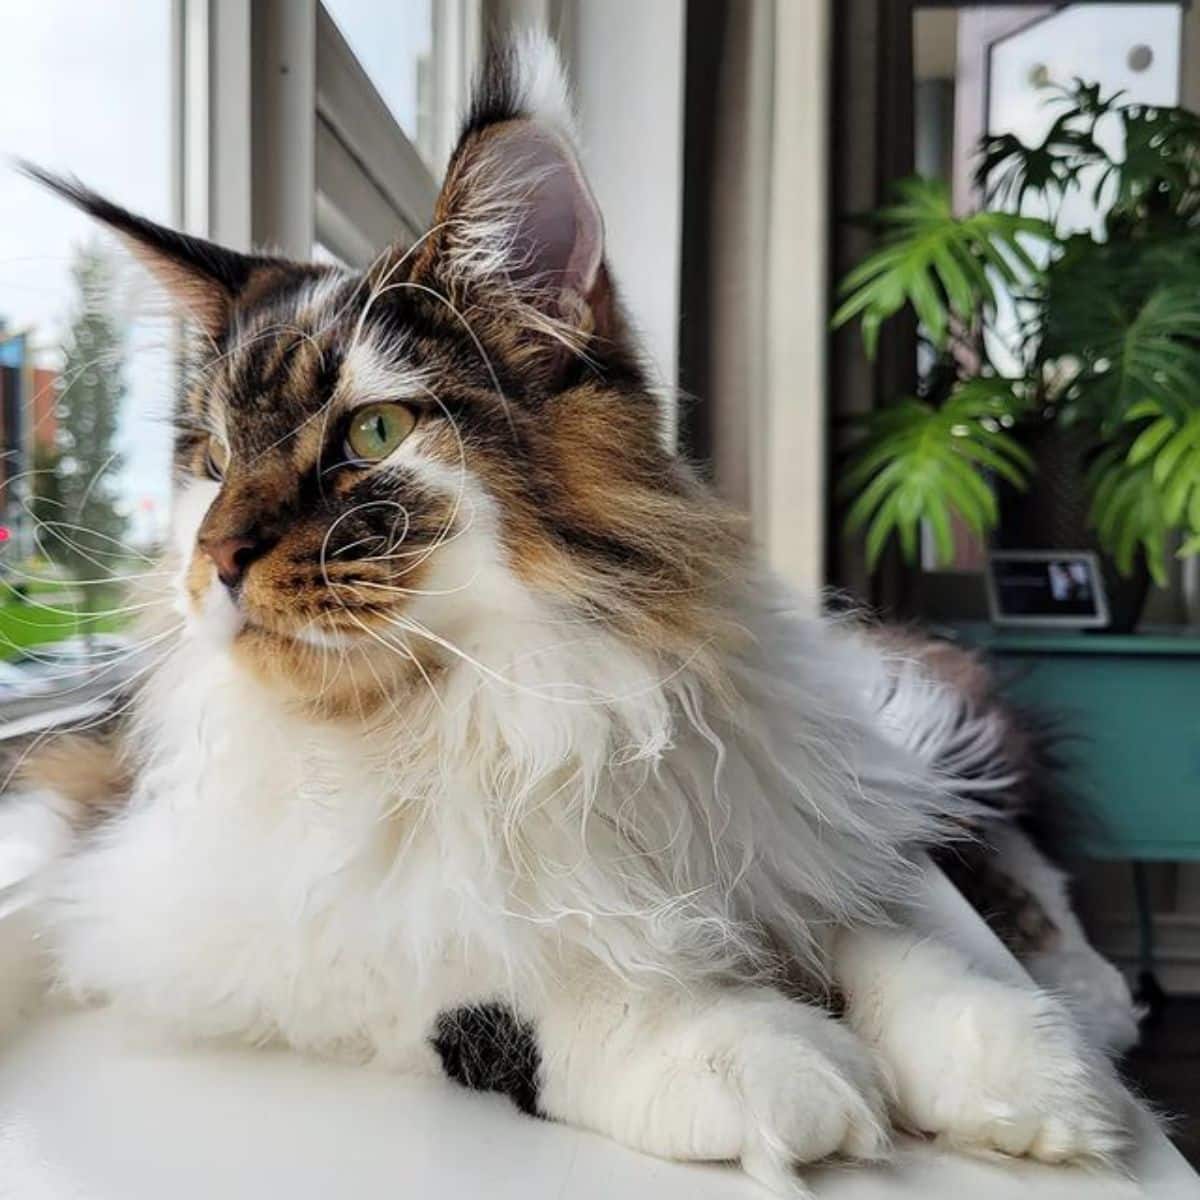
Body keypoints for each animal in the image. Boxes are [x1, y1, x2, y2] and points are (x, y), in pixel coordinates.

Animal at [0, 32, 1123, 1195]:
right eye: (215, 463)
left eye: (372, 432)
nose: (213, 559)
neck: (499, 715)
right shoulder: (214, 912)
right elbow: (500, 988)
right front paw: (745, 1054)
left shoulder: (748, 822)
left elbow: (866, 928)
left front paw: (1015, 1060)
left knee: (974, 815)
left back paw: (1090, 992)